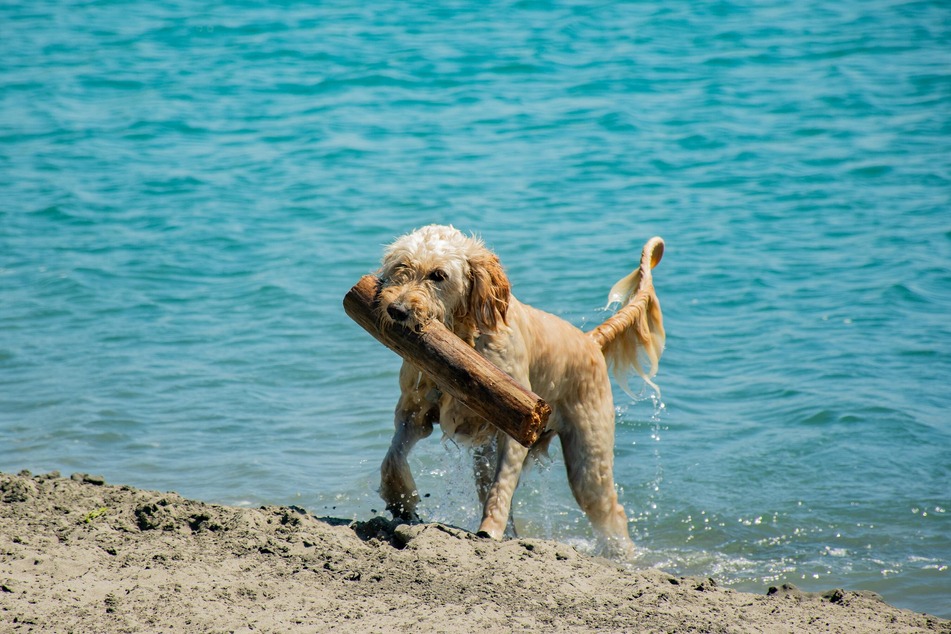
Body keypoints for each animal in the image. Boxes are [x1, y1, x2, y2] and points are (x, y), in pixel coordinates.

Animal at [376, 225, 664, 556]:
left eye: (438, 275)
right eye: (401, 266)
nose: (396, 310)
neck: (463, 338)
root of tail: (590, 340)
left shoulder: (518, 427)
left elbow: (501, 487)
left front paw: (489, 530)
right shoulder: (414, 412)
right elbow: (393, 458)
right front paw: (400, 500)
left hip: (589, 460)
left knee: (610, 511)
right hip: (486, 459)